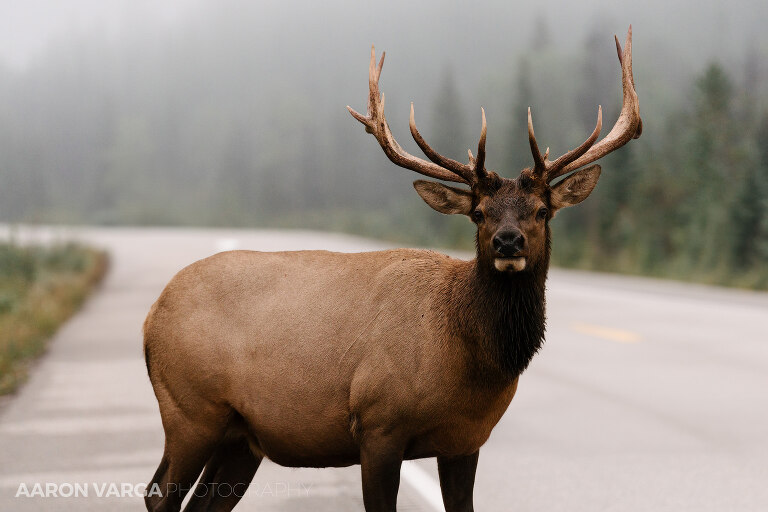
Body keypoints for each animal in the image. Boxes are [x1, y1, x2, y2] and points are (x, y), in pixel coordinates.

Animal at [144, 28, 640, 512]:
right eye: (479, 213)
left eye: (541, 211)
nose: (507, 241)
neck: (466, 361)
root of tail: (151, 317)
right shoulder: (378, 422)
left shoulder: (466, 439)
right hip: (190, 410)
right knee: (158, 494)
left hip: (241, 436)